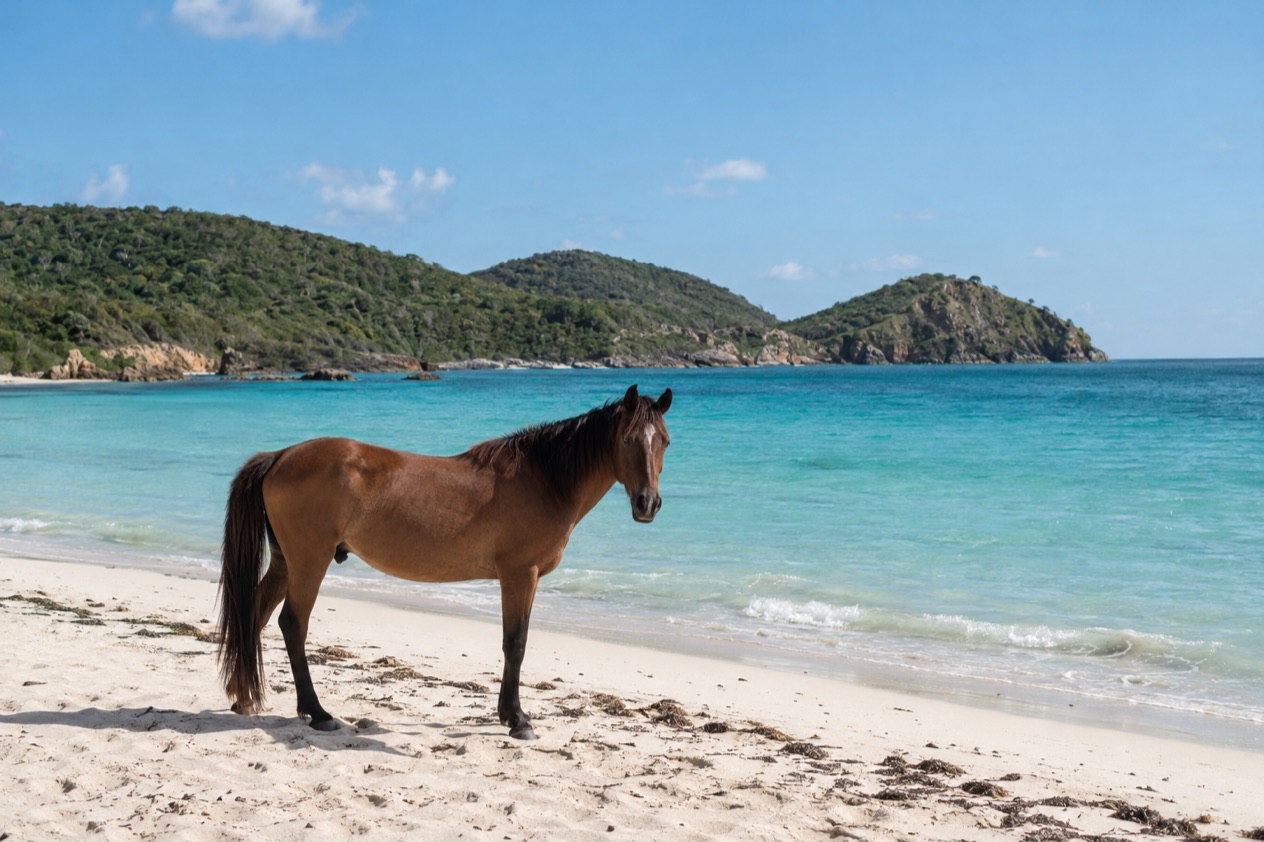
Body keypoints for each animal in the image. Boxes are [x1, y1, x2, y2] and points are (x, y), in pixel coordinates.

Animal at [216, 384, 672, 740]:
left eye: (664, 441)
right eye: (628, 439)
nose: (647, 504)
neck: (544, 480)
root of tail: (280, 455)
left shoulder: (525, 577)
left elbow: (514, 643)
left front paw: (507, 713)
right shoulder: (520, 575)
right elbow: (516, 643)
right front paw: (518, 719)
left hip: (285, 563)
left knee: (255, 614)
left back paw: (244, 698)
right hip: (309, 562)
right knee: (292, 624)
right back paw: (318, 713)